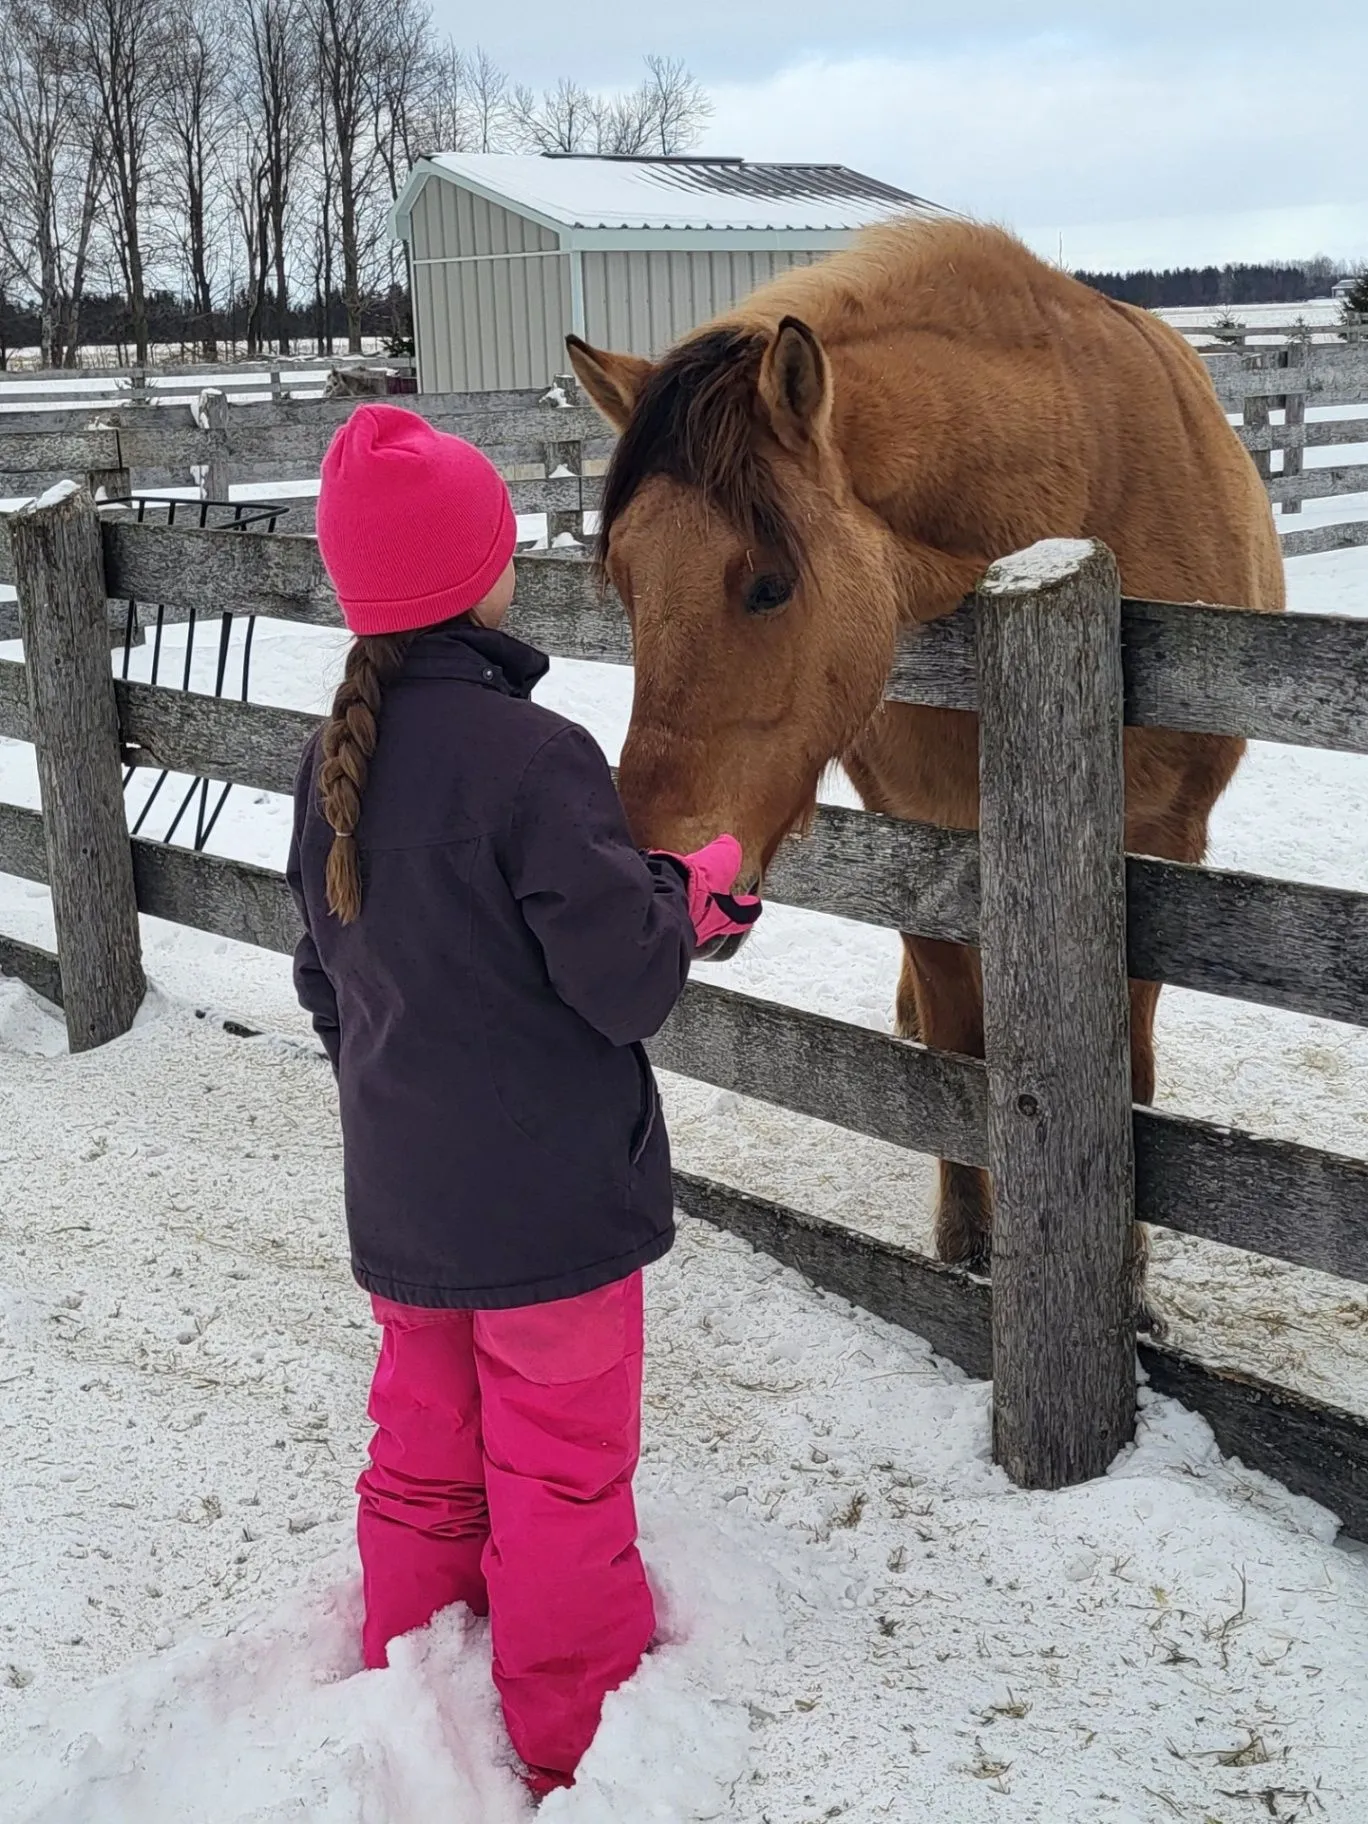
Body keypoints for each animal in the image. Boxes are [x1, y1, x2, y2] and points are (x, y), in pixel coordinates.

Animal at [565, 218, 1284, 1319]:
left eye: (769, 584)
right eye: (624, 581)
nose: (654, 874)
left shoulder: (1162, 853)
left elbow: (1132, 1074)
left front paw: (1126, 1283)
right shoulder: (919, 835)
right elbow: (956, 1052)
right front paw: (967, 1242)